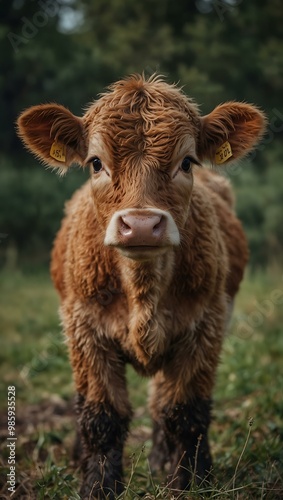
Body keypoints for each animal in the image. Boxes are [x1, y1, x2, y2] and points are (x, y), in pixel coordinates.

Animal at [17, 74, 266, 496]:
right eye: (96, 162)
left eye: (187, 162)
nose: (142, 225)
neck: (142, 289)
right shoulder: (84, 330)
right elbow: (102, 415)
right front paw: (97, 486)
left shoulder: (205, 325)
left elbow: (184, 411)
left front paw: (191, 482)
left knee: (160, 401)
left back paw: (161, 459)